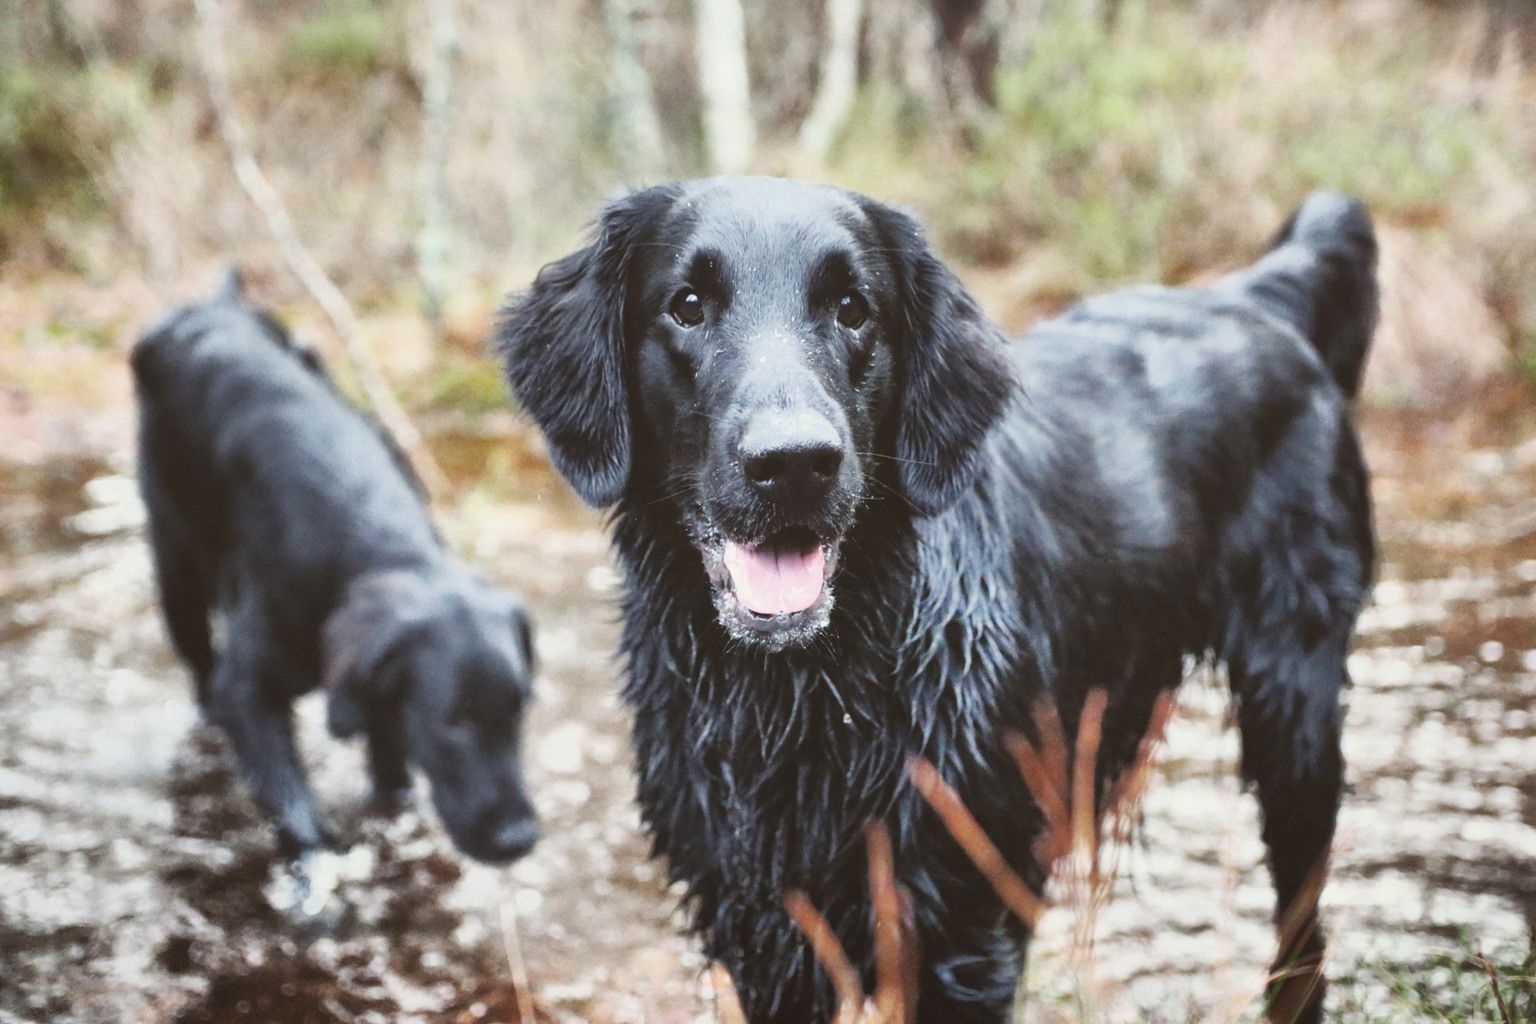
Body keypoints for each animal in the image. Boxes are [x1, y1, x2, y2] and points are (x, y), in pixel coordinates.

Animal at [133, 277, 540, 865]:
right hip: (176, 572)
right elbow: (292, 800)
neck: (374, 546)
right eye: (451, 722)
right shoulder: (248, 689)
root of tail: (209, 307)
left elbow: (390, 768)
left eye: (519, 710)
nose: (520, 838)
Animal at [497, 178, 1376, 1024]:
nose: (794, 463)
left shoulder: (964, 927)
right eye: (687, 305)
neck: (802, 696)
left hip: (1293, 711)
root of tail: (1252, 294)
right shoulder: (760, 931)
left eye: (853, 308)